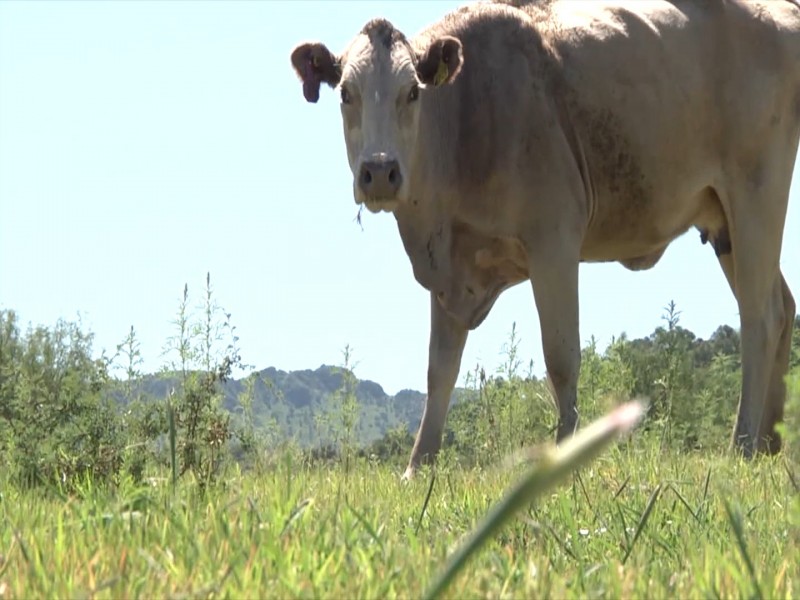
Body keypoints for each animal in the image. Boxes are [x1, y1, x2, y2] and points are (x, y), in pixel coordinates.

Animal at [292, 0, 800, 478]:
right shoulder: (447, 268)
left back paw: (742, 445)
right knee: (782, 307)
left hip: (756, 193)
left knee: (759, 316)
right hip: (724, 221)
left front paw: (565, 455)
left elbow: (561, 356)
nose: (380, 172)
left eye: (412, 91)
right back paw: (770, 445)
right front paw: (418, 466)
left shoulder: (554, 240)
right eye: (346, 93)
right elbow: (440, 370)